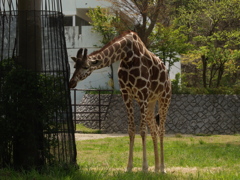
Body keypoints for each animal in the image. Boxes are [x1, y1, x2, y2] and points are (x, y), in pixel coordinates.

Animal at [68, 31, 172, 173]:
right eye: (74, 66)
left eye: (85, 66)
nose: (71, 83)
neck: (127, 55)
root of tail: (167, 73)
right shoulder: (126, 94)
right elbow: (131, 130)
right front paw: (129, 167)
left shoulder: (142, 93)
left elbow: (142, 130)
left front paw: (144, 167)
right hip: (151, 102)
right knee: (154, 130)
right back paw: (156, 168)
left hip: (164, 97)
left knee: (161, 130)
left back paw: (162, 168)